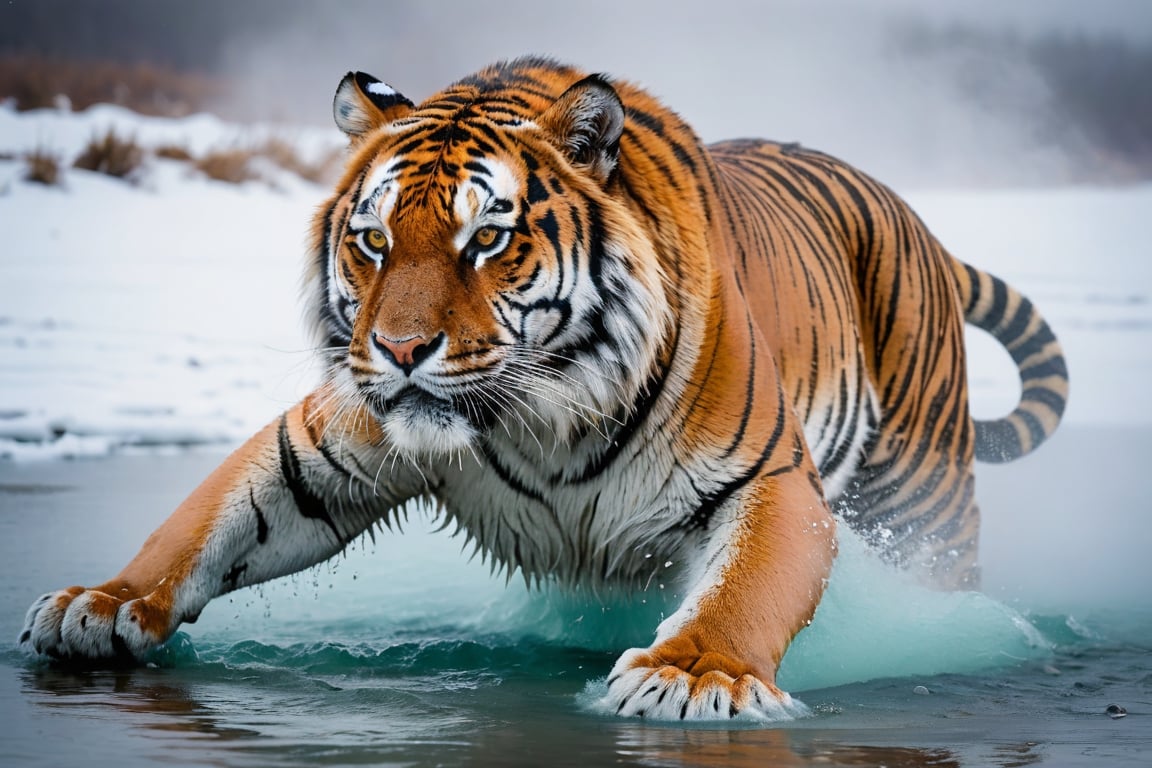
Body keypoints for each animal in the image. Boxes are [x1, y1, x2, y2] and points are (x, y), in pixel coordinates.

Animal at [18, 58, 1064, 723]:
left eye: (487, 238)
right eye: (373, 241)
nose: (400, 349)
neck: (534, 415)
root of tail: (912, 214)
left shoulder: (769, 481)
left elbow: (744, 593)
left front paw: (696, 679)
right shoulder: (319, 447)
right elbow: (204, 522)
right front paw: (98, 606)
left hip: (922, 494)